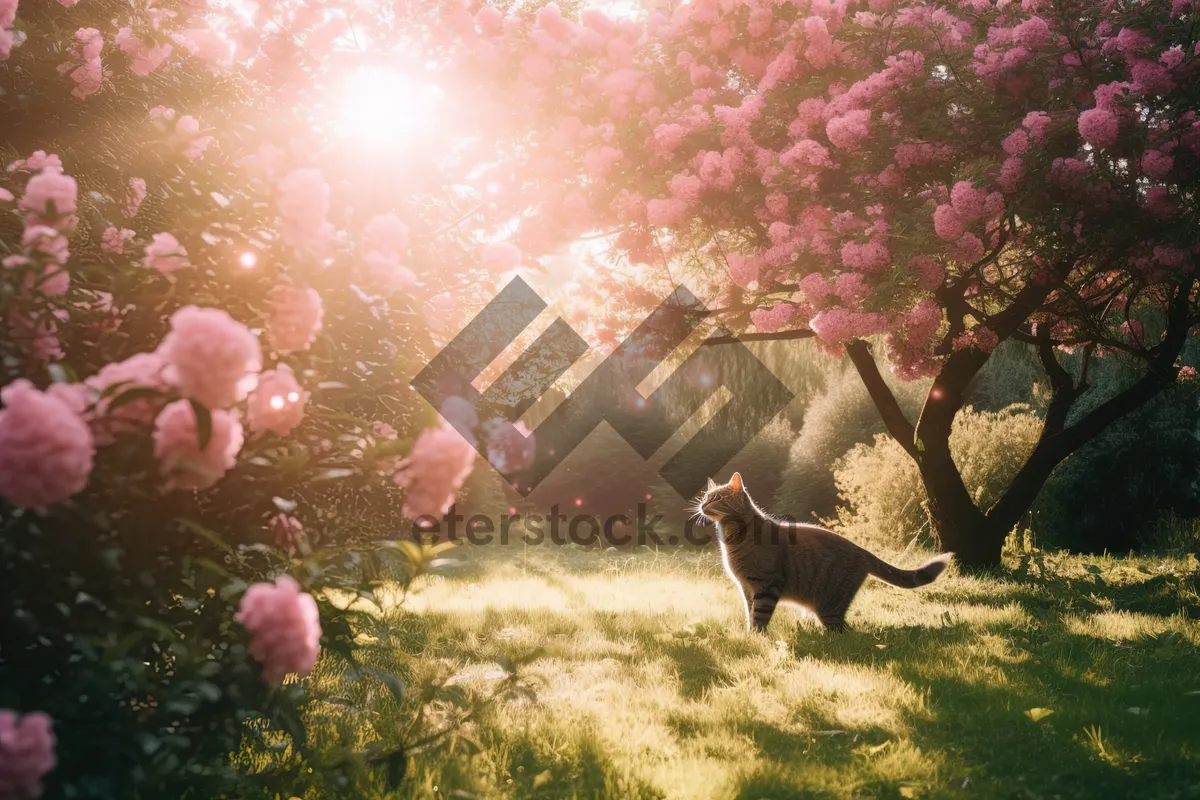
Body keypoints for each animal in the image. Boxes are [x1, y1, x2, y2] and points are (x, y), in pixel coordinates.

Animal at [700, 472, 950, 633]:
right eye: (705, 498)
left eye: (717, 498)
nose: (702, 506)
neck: (733, 536)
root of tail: (862, 550)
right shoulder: (747, 588)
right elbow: (749, 613)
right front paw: (750, 635)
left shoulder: (766, 585)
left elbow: (759, 617)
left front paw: (757, 638)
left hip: (829, 607)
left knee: (845, 633)